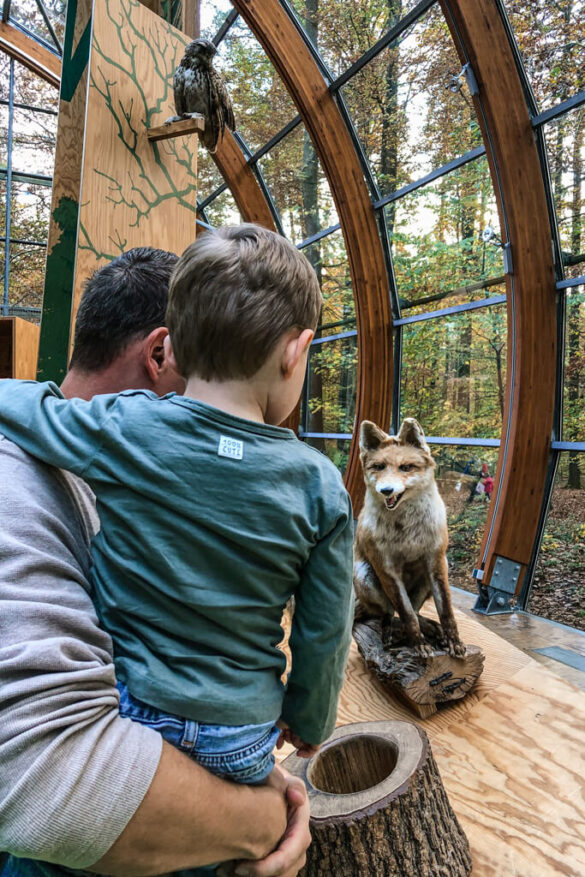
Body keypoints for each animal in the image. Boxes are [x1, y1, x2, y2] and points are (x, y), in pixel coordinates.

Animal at [352, 420, 466, 656]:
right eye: (378, 467)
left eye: (406, 467)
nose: (386, 490)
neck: (407, 532)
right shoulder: (386, 569)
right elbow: (406, 614)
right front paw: (418, 643)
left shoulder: (436, 561)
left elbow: (446, 611)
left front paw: (453, 641)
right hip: (364, 575)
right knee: (388, 613)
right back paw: (390, 634)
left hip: (432, 574)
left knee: (415, 610)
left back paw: (433, 630)